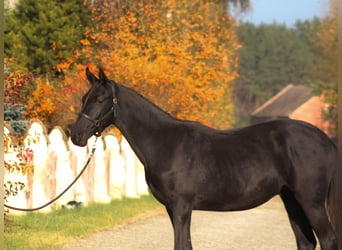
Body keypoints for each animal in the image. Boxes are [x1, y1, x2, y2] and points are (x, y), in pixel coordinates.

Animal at [71, 67, 338, 249]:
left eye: (100, 99)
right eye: (84, 97)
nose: (76, 135)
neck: (165, 142)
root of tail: (325, 140)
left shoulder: (181, 206)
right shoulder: (173, 208)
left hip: (311, 202)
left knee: (328, 239)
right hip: (291, 199)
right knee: (306, 241)